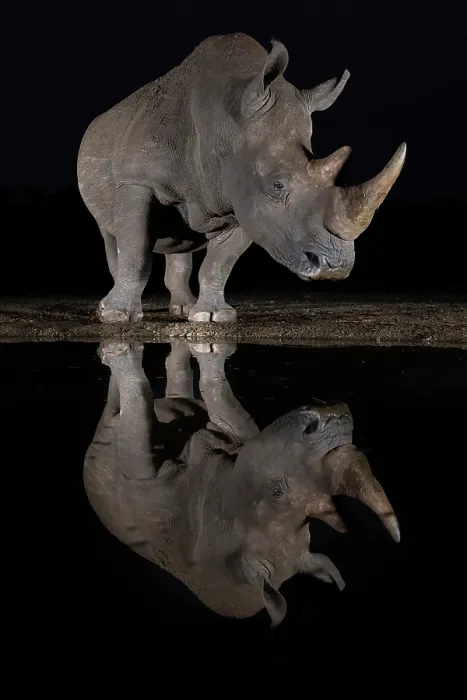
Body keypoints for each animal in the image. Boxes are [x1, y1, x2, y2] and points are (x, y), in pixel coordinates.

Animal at [77, 33, 406, 324]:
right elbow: (135, 250)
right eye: (277, 186)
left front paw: (212, 317)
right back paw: (110, 307)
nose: (335, 268)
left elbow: (220, 262)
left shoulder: (245, 199)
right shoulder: (137, 180)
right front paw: (117, 316)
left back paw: (183, 309)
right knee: (111, 233)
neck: (224, 121)